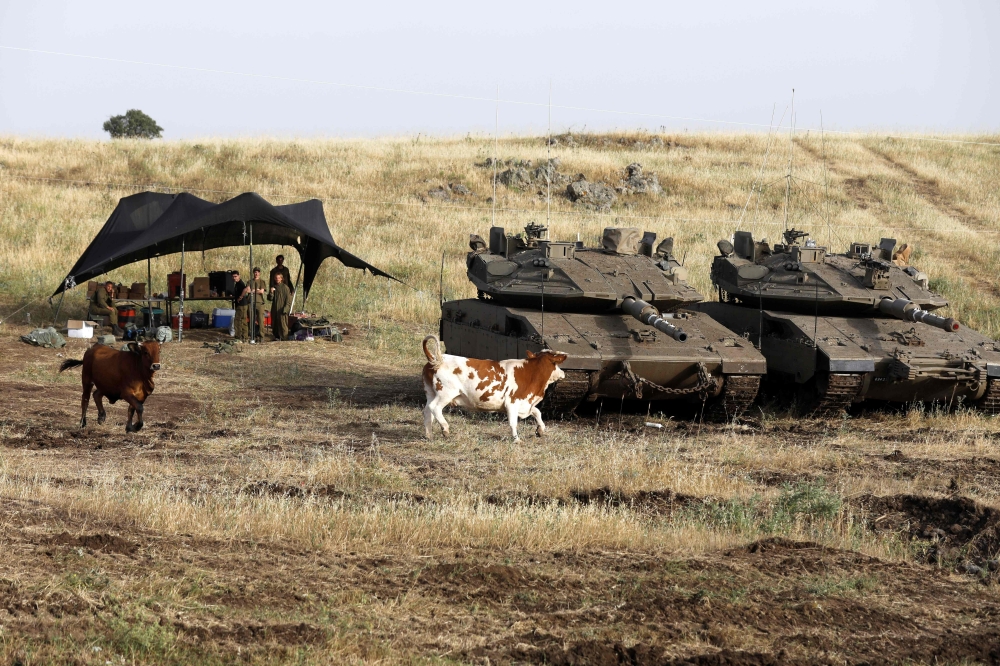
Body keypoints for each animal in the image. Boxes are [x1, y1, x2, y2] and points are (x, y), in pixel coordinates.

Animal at [422, 335, 567, 442]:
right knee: (435, 408)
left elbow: (537, 412)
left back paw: (429, 435)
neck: (530, 372)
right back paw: (445, 429)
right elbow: (513, 422)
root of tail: (437, 360)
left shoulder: (525, 403)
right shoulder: (512, 402)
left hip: (430, 393)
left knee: (427, 411)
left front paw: (540, 430)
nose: (563, 373)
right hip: (446, 393)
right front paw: (516, 440)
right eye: (556, 363)